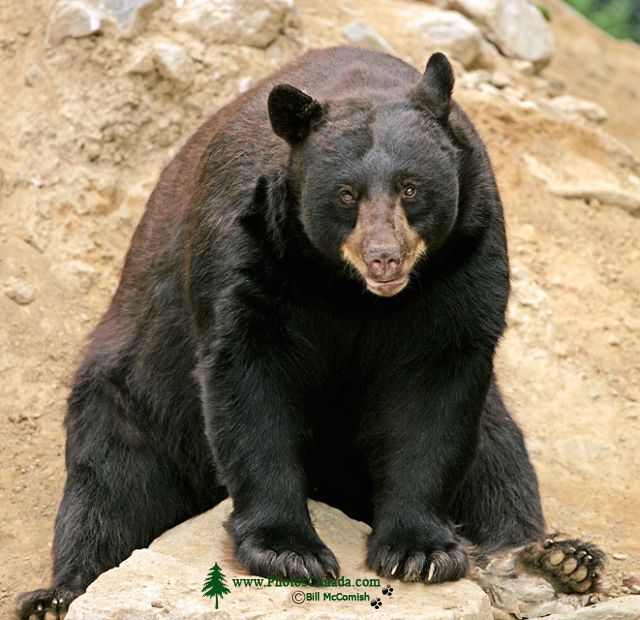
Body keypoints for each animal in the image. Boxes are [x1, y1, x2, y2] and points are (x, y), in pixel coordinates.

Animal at [17, 46, 604, 616]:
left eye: (411, 188)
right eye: (346, 194)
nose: (385, 257)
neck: (348, 290)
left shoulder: (467, 255)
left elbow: (437, 392)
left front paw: (421, 551)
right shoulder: (249, 249)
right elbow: (249, 380)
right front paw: (289, 551)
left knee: (500, 464)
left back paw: (558, 558)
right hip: (135, 393)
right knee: (110, 483)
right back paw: (56, 596)